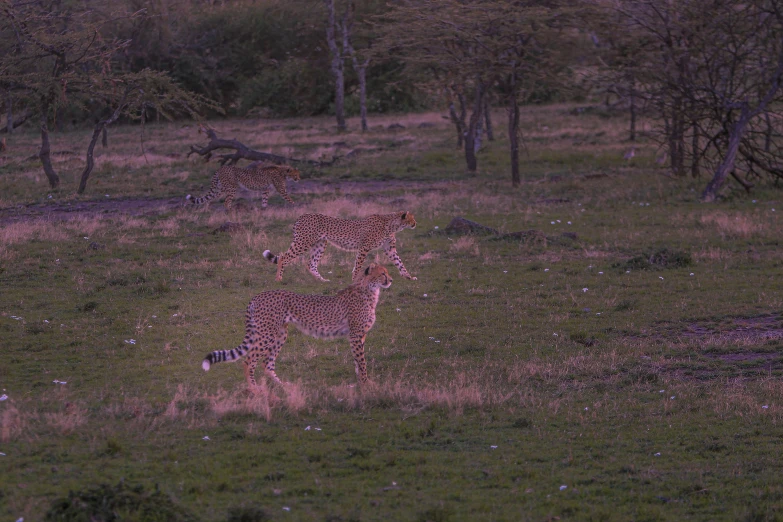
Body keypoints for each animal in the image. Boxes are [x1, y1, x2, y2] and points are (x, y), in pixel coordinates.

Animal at [202, 262, 392, 384]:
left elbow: (357, 361)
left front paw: (361, 381)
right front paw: (367, 383)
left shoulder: (358, 335)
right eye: (383, 273)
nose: (391, 280)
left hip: (280, 334)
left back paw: (283, 387)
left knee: (267, 363)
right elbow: (361, 360)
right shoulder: (355, 334)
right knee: (249, 361)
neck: (369, 290)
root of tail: (259, 295)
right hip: (267, 334)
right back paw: (256, 391)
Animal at [264, 211, 420, 282]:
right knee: (283, 257)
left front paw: (409, 276)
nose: (415, 224)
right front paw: (355, 279)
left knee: (310, 263)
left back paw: (322, 280)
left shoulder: (389, 248)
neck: (392, 224)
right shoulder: (364, 247)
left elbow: (399, 262)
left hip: (320, 244)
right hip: (304, 242)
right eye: (411, 218)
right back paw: (278, 278)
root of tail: (301, 216)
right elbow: (358, 264)